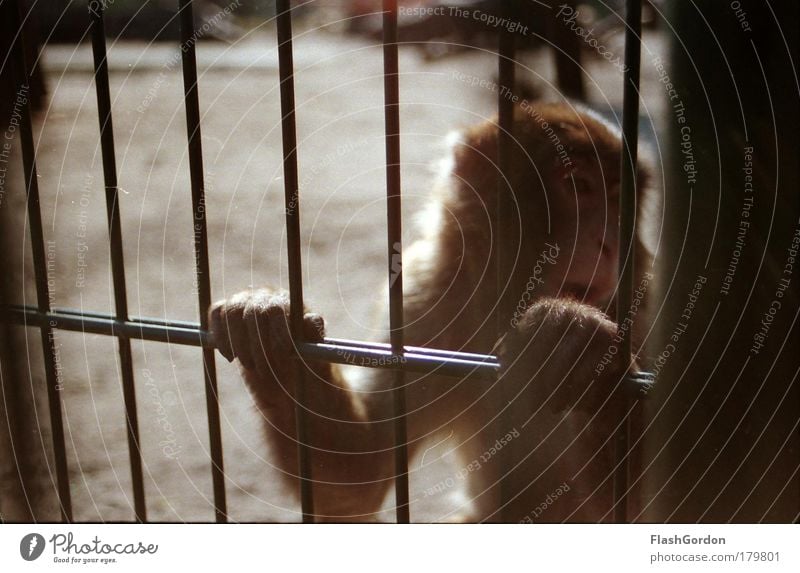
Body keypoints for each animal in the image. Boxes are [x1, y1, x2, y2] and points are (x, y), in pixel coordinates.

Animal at [209, 100, 652, 520]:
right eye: (579, 185)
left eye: (621, 201)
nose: (611, 243)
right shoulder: (427, 295)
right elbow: (360, 478)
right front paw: (271, 326)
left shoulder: (642, 308)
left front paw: (578, 342)